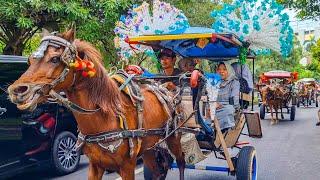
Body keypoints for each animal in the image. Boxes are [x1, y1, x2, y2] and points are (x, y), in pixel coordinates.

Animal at [6, 28, 185, 179]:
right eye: (29, 60)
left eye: (55, 59)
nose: (17, 90)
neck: (104, 115)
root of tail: (166, 87)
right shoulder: (95, 165)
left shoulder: (127, 165)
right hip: (149, 147)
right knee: (156, 172)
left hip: (173, 137)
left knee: (181, 162)